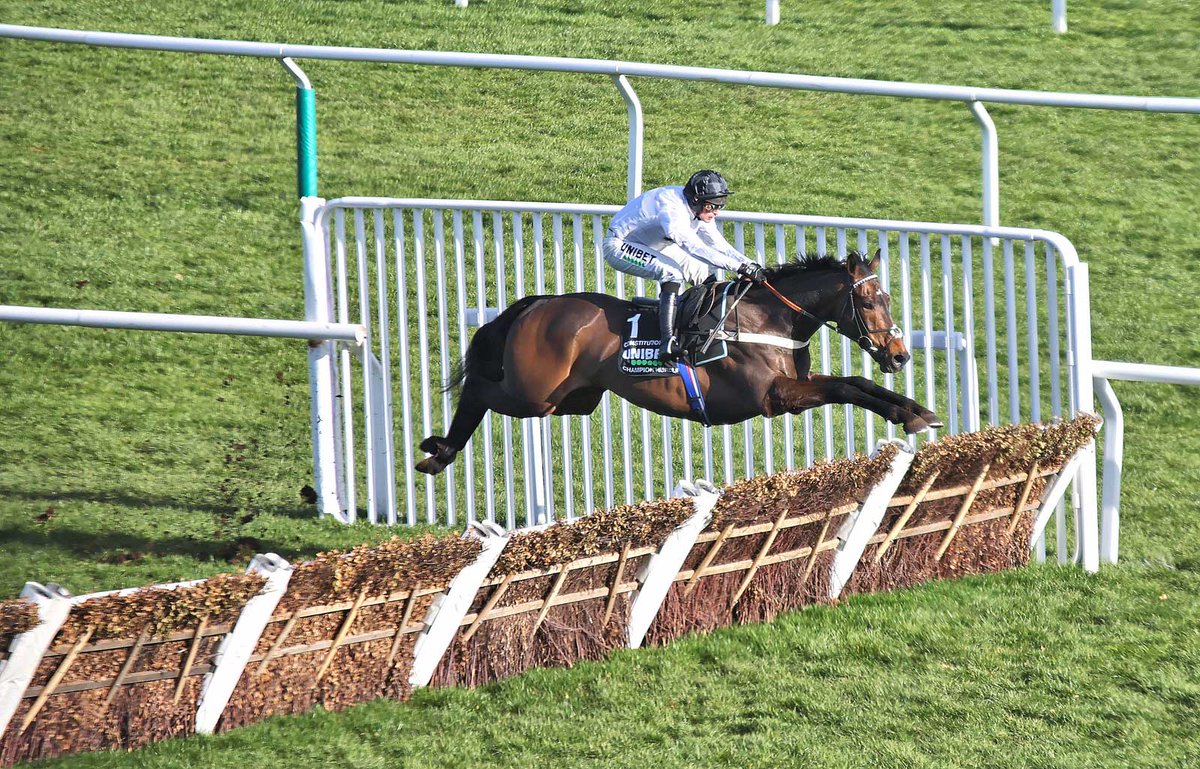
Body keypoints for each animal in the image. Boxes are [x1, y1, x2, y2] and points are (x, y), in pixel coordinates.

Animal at [417, 249, 940, 475]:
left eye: (887, 297)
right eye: (868, 302)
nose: (899, 354)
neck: (767, 318)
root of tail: (535, 303)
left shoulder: (799, 380)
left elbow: (856, 383)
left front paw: (917, 411)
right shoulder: (774, 397)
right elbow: (846, 387)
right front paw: (910, 415)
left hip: (574, 399)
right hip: (533, 392)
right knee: (479, 390)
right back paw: (440, 450)